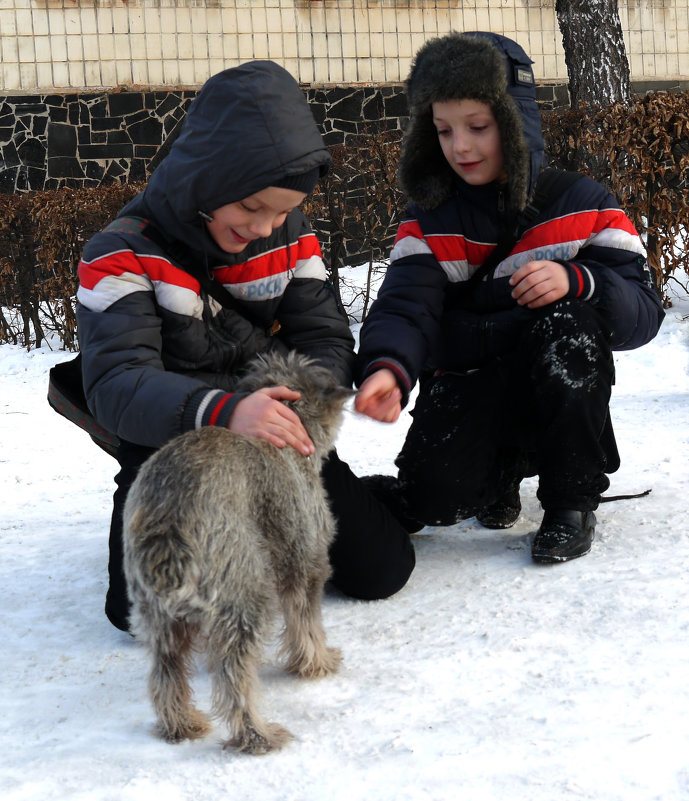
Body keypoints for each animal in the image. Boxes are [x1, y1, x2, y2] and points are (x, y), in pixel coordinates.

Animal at [121, 354, 352, 752]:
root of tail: (169, 522)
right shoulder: (305, 560)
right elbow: (307, 623)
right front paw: (317, 663)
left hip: (158, 617)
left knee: (165, 673)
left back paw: (180, 724)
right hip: (245, 600)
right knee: (234, 677)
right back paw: (258, 735)